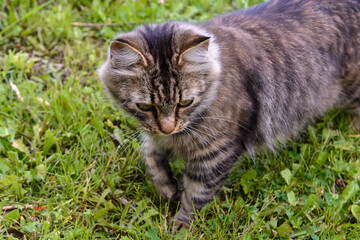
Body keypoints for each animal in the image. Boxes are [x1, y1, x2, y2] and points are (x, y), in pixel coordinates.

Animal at [98, 0, 360, 229]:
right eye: (145, 107)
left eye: (185, 102)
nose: (168, 127)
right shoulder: (158, 138)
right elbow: (150, 155)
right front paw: (167, 189)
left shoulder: (214, 153)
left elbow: (196, 195)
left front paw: (180, 226)